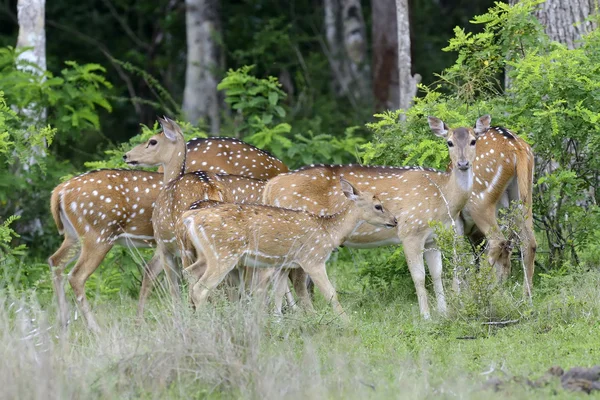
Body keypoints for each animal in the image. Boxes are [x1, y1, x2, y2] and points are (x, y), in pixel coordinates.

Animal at [49, 131, 288, 332]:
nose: (128, 155)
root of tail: (59, 191)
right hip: (99, 234)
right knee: (76, 276)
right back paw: (94, 328)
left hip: (74, 236)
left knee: (55, 261)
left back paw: (64, 322)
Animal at [183, 180, 398, 320]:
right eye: (378, 206)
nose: (394, 220)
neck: (329, 233)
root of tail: (192, 218)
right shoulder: (313, 259)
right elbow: (331, 293)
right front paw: (346, 322)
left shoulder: (284, 264)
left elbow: (278, 294)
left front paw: (278, 321)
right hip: (223, 253)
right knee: (201, 288)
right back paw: (202, 321)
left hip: (206, 254)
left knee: (190, 273)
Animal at [262, 115, 488, 318]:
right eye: (449, 142)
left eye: (473, 140)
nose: (463, 163)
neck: (442, 199)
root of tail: (270, 186)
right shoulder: (410, 231)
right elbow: (419, 277)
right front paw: (426, 316)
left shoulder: (433, 238)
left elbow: (437, 274)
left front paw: (444, 313)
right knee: (295, 278)